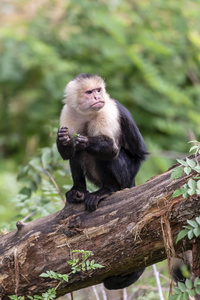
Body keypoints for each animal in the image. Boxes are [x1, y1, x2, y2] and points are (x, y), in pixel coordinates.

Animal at [56, 74, 147, 290]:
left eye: (98, 91)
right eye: (89, 92)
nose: (97, 97)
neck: (87, 113)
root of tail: (132, 181)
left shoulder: (108, 109)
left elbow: (111, 149)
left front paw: (83, 140)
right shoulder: (68, 111)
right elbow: (68, 152)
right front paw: (64, 140)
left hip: (126, 175)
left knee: (110, 156)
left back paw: (108, 190)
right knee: (78, 155)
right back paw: (78, 191)